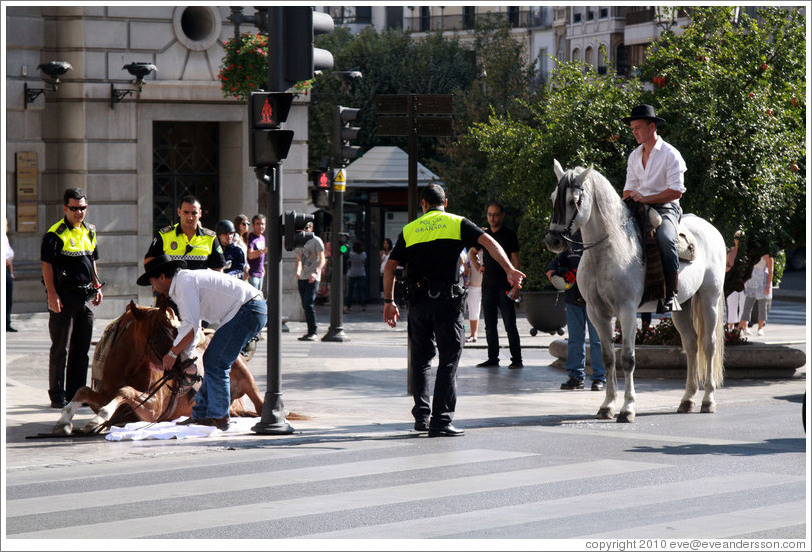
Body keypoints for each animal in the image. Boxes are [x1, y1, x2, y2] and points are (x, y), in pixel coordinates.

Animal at [53, 302, 264, 436]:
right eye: (163, 334)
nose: (191, 368)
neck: (128, 369)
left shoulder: (153, 410)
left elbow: (125, 391)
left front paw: (96, 420)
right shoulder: (106, 396)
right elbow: (83, 391)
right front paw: (64, 422)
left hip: (245, 376)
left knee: (260, 407)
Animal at [544, 160, 724, 422]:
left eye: (573, 201)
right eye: (553, 197)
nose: (553, 241)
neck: (606, 251)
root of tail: (710, 228)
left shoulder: (627, 311)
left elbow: (628, 359)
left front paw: (627, 408)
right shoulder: (597, 313)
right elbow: (607, 358)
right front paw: (607, 405)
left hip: (710, 297)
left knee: (708, 345)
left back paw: (708, 400)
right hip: (682, 306)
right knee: (691, 345)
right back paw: (687, 399)